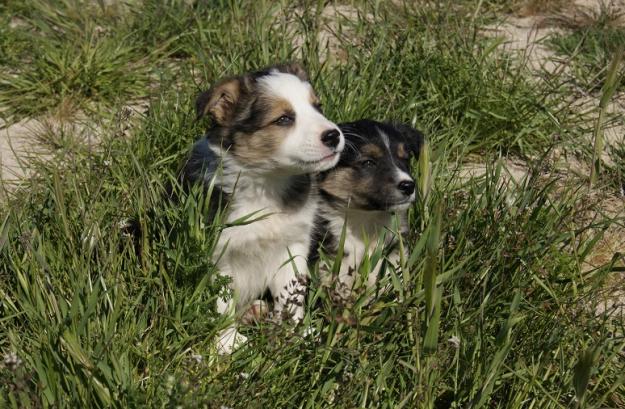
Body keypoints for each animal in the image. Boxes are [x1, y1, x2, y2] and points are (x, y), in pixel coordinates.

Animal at [183, 62, 344, 352]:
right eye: (283, 119)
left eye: (318, 106)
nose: (333, 135)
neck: (268, 183)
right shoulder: (220, 253)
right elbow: (222, 302)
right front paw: (228, 344)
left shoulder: (293, 246)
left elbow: (292, 294)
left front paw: (295, 333)